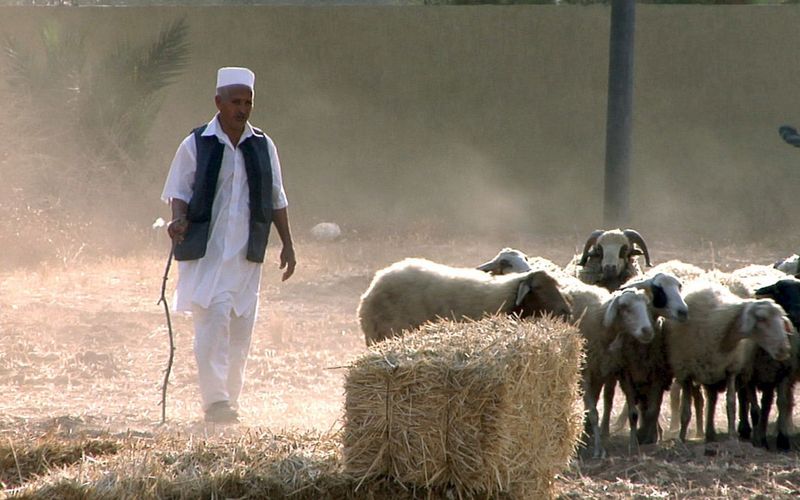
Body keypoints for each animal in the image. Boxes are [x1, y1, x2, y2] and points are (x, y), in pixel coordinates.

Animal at [664, 280, 792, 444]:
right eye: (762, 318)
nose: (785, 349)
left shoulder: (731, 369)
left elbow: (731, 403)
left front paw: (732, 437)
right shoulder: (684, 372)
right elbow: (685, 410)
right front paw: (681, 438)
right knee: (705, 400)